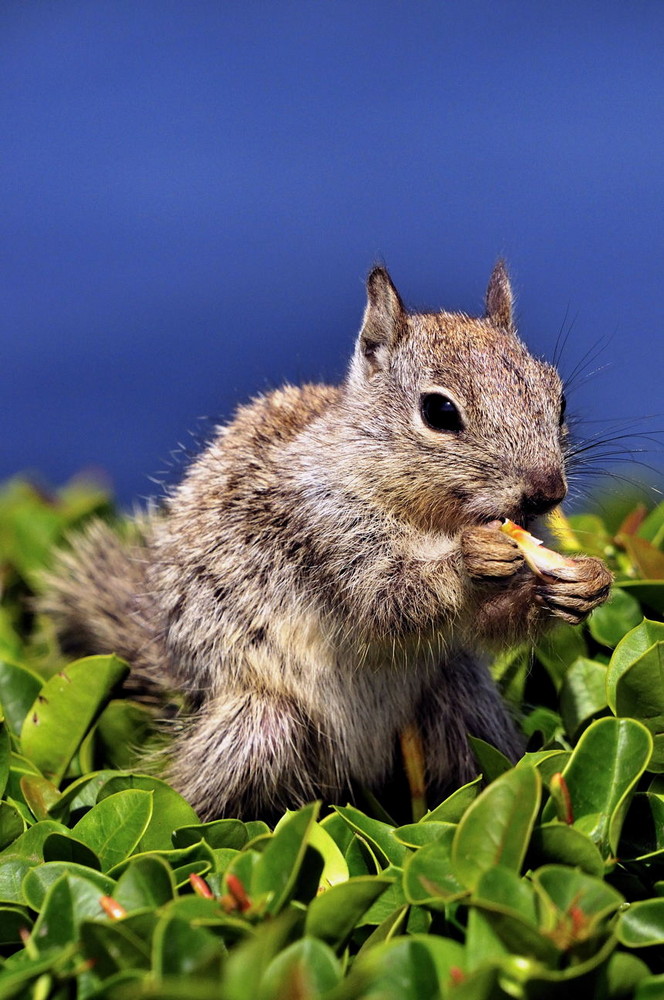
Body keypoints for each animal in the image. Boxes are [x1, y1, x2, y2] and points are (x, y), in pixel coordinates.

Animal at [40, 262, 612, 816]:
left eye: (559, 399)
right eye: (440, 412)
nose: (547, 492)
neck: (435, 521)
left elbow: (489, 622)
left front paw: (584, 583)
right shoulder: (326, 526)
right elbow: (385, 597)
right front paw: (471, 560)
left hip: (462, 701)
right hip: (259, 726)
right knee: (196, 796)